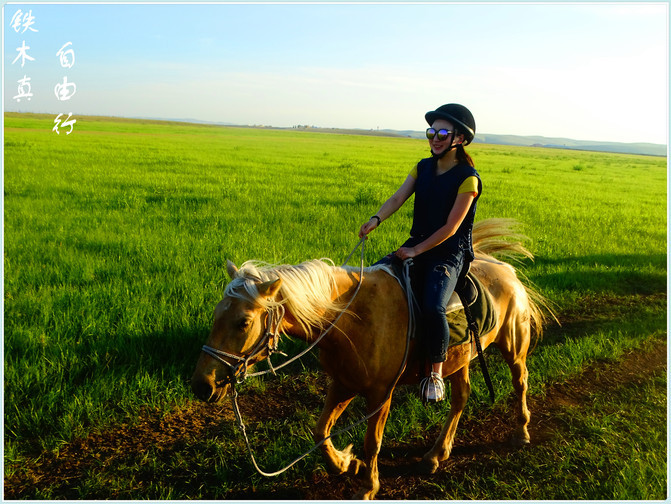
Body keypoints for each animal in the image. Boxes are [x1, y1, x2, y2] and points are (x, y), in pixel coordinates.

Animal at [192, 219, 548, 498]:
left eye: (243, 322)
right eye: (216, 314)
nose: (202, 385)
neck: (349, 317)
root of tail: (506, 270)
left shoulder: (380, 393)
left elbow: (371, 441)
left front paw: (367, 486)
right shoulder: (343, 384)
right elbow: (320, 433)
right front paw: (346, 464)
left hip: (513, 346)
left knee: (520, 383)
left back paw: (521, 432)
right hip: (457, 359)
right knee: (461, 398)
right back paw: (436, 454)